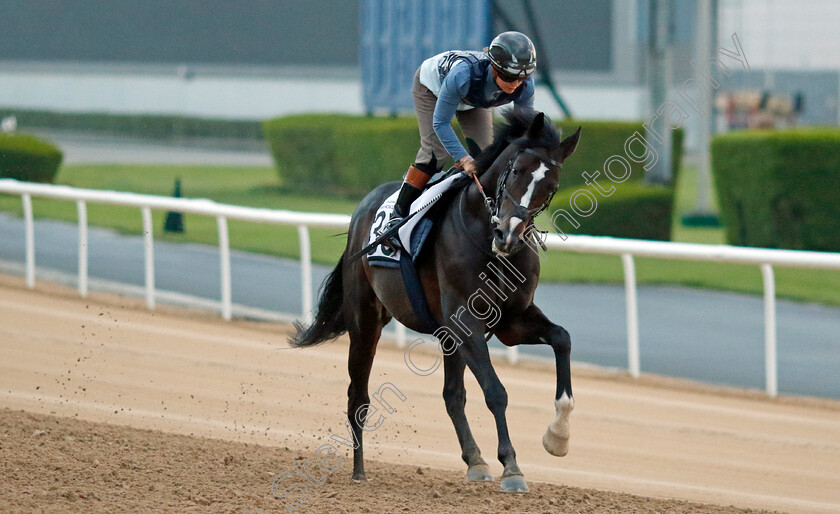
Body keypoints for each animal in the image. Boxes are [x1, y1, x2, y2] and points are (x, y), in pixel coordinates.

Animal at [290, 109, 576, 492]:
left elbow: (562, 338)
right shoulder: (466, 321)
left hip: (446, 334)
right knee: (358, 396)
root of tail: (363, 208)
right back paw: (359, 470)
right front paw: (512, 467)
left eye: (551, 186)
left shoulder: (510, 321)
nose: (508, 235)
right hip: (366, 319)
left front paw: (557, 436)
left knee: (452, 395)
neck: (486, 239)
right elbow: (495, 391)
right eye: (516, 170)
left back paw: (475, 461)